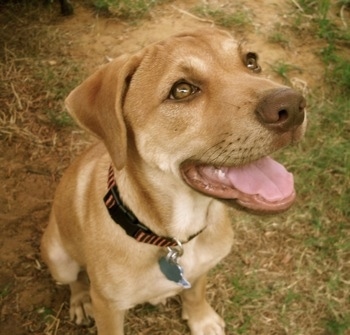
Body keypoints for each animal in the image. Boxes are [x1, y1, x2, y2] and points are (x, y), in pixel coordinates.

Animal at [41, 27, 306, 334]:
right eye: (182, 90)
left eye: (251, 61)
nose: (293, 106)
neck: (176, 237)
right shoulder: (108, 306)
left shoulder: (203, 267)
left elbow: (196, 292)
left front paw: (201, 319)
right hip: (59, 259)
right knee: (74, 281)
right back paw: (81, 301)